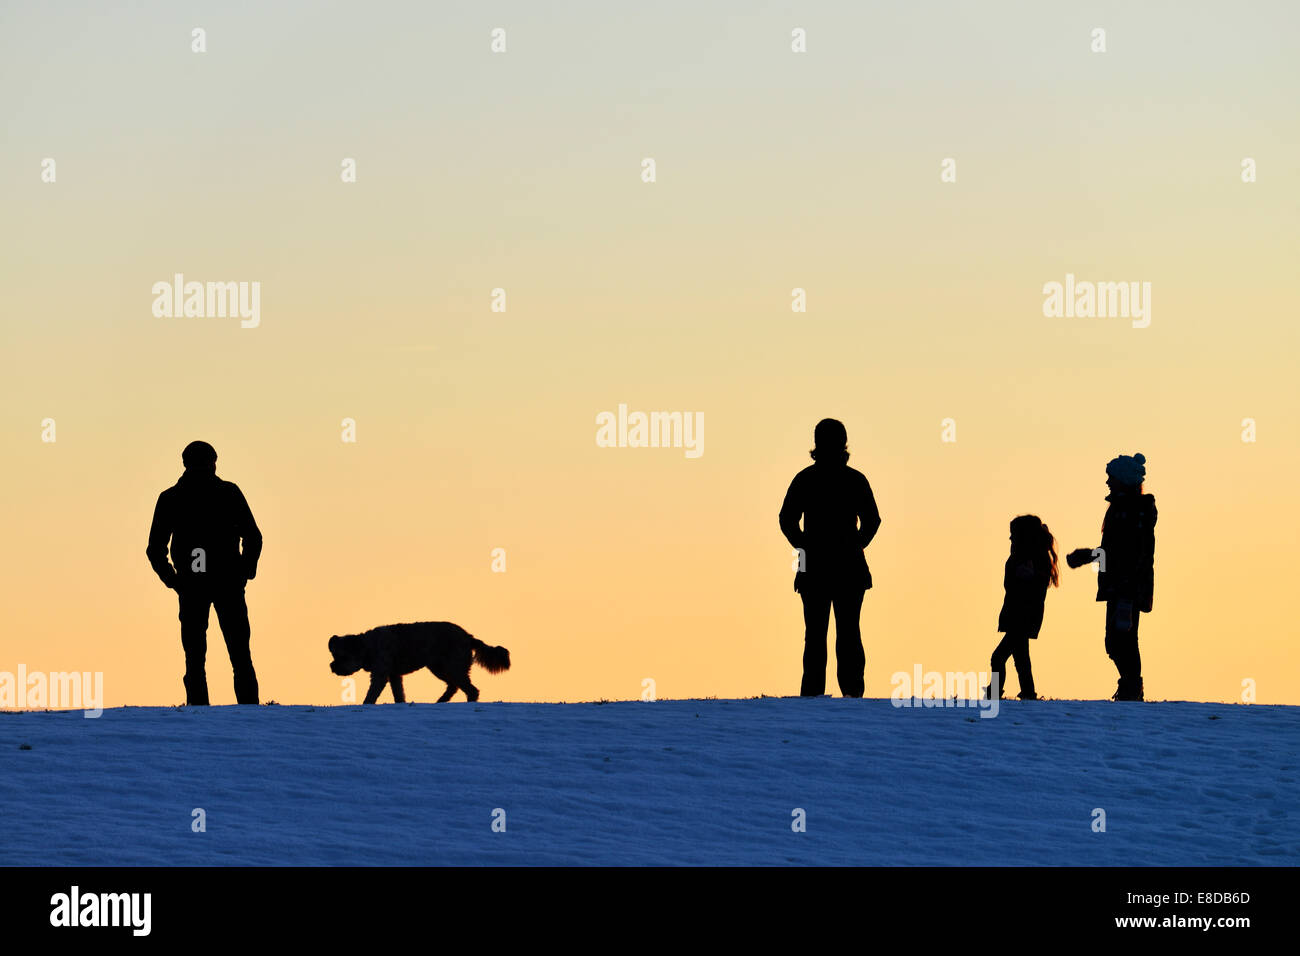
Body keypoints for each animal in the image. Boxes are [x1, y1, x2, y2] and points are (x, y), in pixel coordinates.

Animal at [327, 621, 509, 702]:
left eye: (341, 656)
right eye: (334, 656)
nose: (332, 667)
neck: (367, 646)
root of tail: (468, 637)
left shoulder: (380, 674)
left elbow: (372, 693)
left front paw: (366, 705)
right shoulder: (394, 675)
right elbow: (399, 694)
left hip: (452, 666)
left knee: (471, 690)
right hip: (440, 667)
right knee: (453, 686)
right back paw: (440, 701)